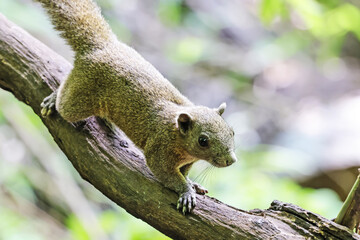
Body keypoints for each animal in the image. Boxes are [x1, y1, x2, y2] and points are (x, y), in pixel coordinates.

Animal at [38, 0, 238, 214]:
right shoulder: (159, 150)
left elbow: (183, 173)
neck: (179, 138)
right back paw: (53, 99)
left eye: (232, 132)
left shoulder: (186, 162)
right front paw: (186, 191)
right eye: (203, 141)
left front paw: (192, 183)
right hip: (79, 99)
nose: (231, 160)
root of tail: (103, 46)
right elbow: (166, 174)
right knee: (65, 102)